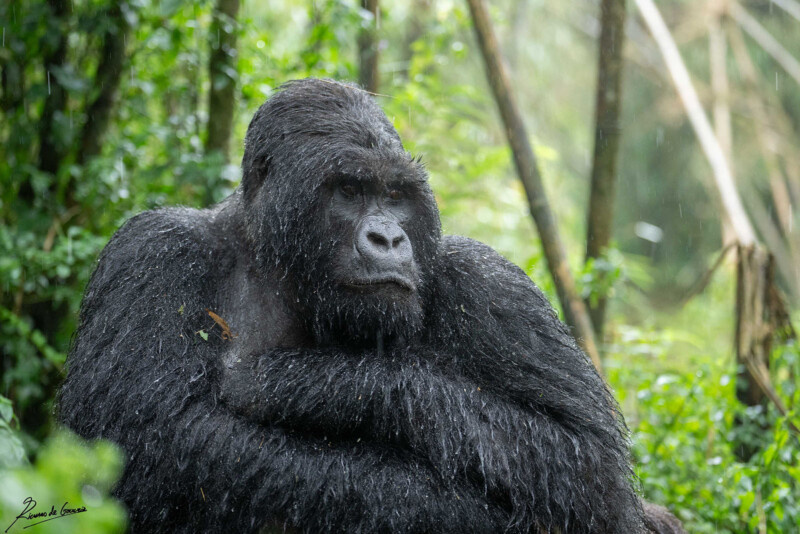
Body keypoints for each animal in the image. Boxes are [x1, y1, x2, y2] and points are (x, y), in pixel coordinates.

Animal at [57, 77, 680, 532]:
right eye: (350, 190)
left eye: (396, 195)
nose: (388, 238)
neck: (278, 264)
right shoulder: (151, 253)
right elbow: (141, 439)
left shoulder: (490, 285)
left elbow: (583, 464)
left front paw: (309, 382)